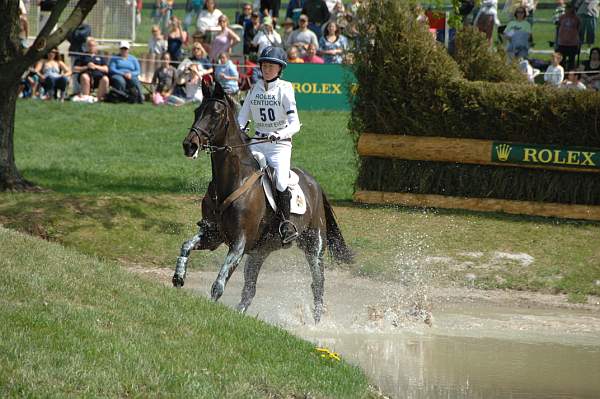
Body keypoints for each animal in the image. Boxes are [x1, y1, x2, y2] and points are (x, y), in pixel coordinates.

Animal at [171, 83, 354, 324]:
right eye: (196, 111)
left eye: (216, 114)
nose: (189, 145)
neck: (233, 180)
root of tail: (315, 184)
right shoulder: (213, 235)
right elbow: (186, 245)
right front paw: (178, 277)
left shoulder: (239, 242)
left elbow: (218, 284)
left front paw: (209, 313)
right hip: (260, 252)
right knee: (249, 290)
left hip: (314, 246)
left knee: (317, 285)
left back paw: (315, 323)